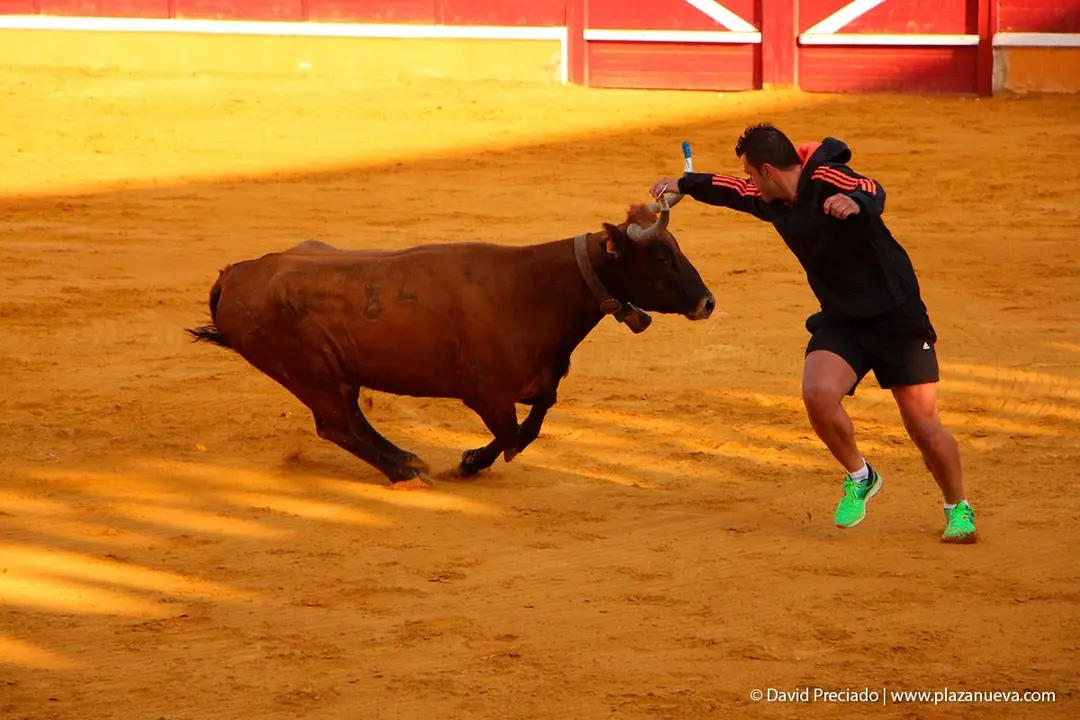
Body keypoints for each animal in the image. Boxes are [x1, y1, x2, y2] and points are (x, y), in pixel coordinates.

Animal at [185, 192, 715, 487]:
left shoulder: (540, 383)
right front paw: (467, 462)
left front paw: (470, 459)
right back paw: (405, 472)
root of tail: (234, 275)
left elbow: (533, 424)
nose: (707, 302)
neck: (533, 289)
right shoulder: (485, 393)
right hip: (309, 373)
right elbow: (513, 436)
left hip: (334, 376)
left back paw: (407, 458)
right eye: (660, 258)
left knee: (350, 420)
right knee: (336, 425)